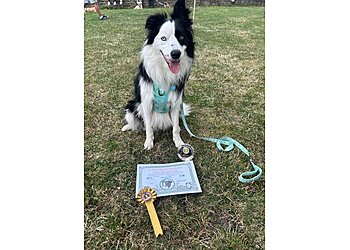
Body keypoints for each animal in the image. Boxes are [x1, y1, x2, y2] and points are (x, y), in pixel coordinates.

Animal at [122, 0, 194, 149]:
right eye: (163, 38)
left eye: (181, 36)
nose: (175, 53)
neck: (164, 72)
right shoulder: (146, 102)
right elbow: (148, 127)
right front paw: (149, 142)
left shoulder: (176, 103)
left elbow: (176, 127)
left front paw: (179, 142)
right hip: (132, 106)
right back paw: (128, 127)